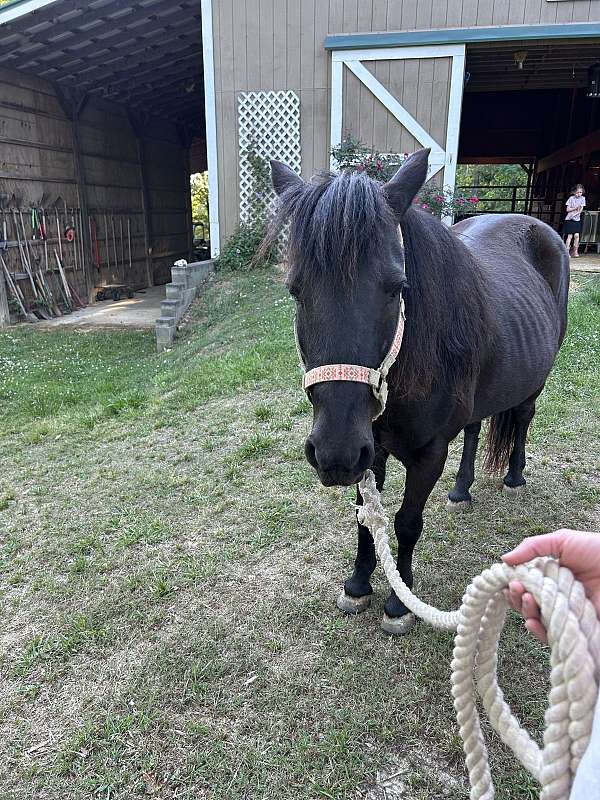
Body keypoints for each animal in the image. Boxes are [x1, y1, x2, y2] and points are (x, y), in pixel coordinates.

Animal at [264, 148, 569, 635]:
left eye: (396, 289)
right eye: (296, 290)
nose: (334, 452)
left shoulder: (427, 453)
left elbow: (407, 522)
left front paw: (399, 601)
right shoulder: (371, 451)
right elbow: (365, 520)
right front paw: (358, 585)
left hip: (536, 379)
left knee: (522, 417)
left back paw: (514, 477)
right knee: (475, 428)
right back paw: (461, 490)